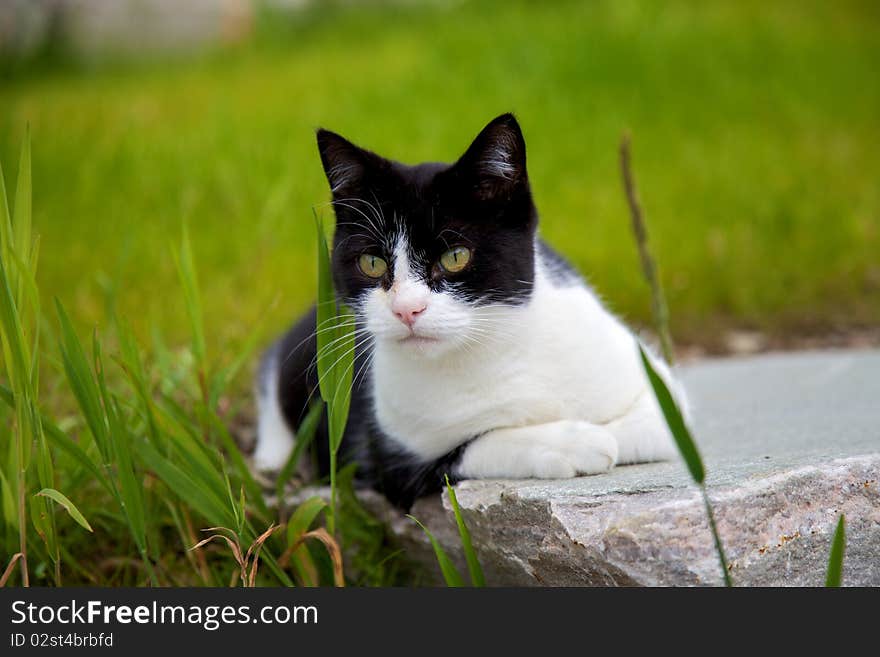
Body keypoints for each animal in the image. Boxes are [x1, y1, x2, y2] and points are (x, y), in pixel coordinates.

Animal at [251, 115, 684, 510]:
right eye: (372, 263)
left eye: (455, 257)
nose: (407, 309)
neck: (491, 353)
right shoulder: (391, 454)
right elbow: (468, 448)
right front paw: (572, 441)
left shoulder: (650, 381)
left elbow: (660, 424)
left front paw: (599, 432)